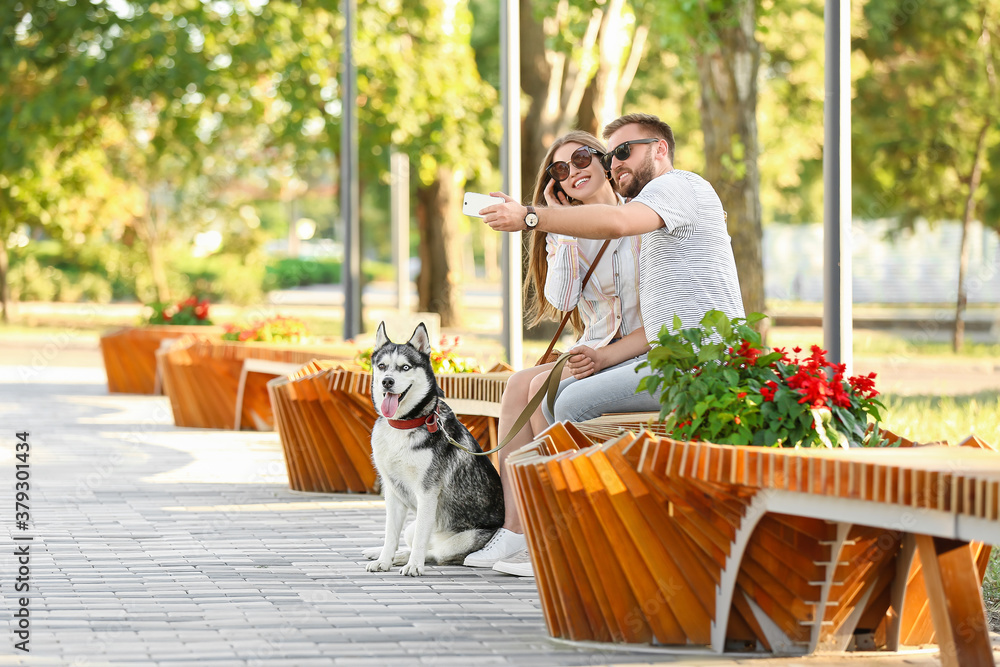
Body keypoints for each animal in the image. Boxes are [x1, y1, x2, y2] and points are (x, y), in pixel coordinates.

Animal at [364, 322, 504, 576]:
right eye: (382, 366)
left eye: (405, 367)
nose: (387, 381)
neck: (405, 424)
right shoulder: (392, 492)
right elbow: (390, 534)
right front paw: (384, 560)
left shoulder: (427, 493)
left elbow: (421, 538)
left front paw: (413, 566)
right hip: (412, 527)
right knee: (415, 542)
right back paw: (392, 555)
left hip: (462, 540)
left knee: (434, 553)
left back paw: (410, 559)